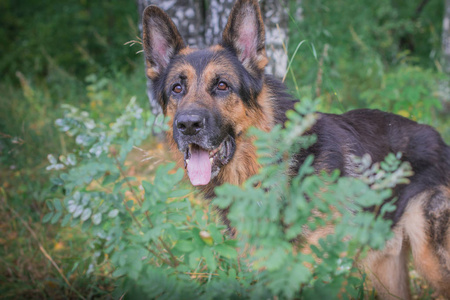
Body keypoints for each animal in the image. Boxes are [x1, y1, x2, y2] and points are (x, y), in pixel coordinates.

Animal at [143, 0, 450, 298]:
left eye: (221, 85)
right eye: (177, 88)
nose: (188, 125)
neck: (269, 169)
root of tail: (441, 141)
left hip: (430, 261)